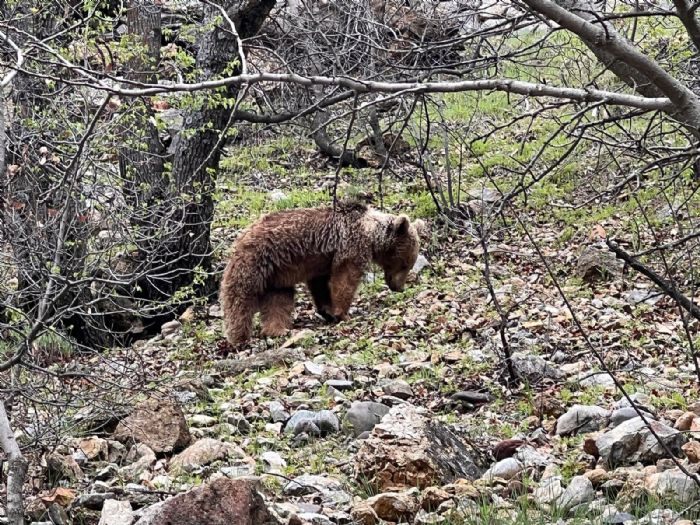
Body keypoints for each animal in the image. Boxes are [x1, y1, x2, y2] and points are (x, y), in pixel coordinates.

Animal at [221, 200, 424, 344]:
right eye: (405, 264)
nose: (399, 287)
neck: (371, 235)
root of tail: (240, 238)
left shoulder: (321, 262)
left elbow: (320, 286)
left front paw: (328, 311)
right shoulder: (351, 247)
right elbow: (345, 279)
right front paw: (342, 313)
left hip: (276, 277)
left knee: (278, 301)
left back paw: (278, 329)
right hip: (255, 263)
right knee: (240, 299)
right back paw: (239, 336)